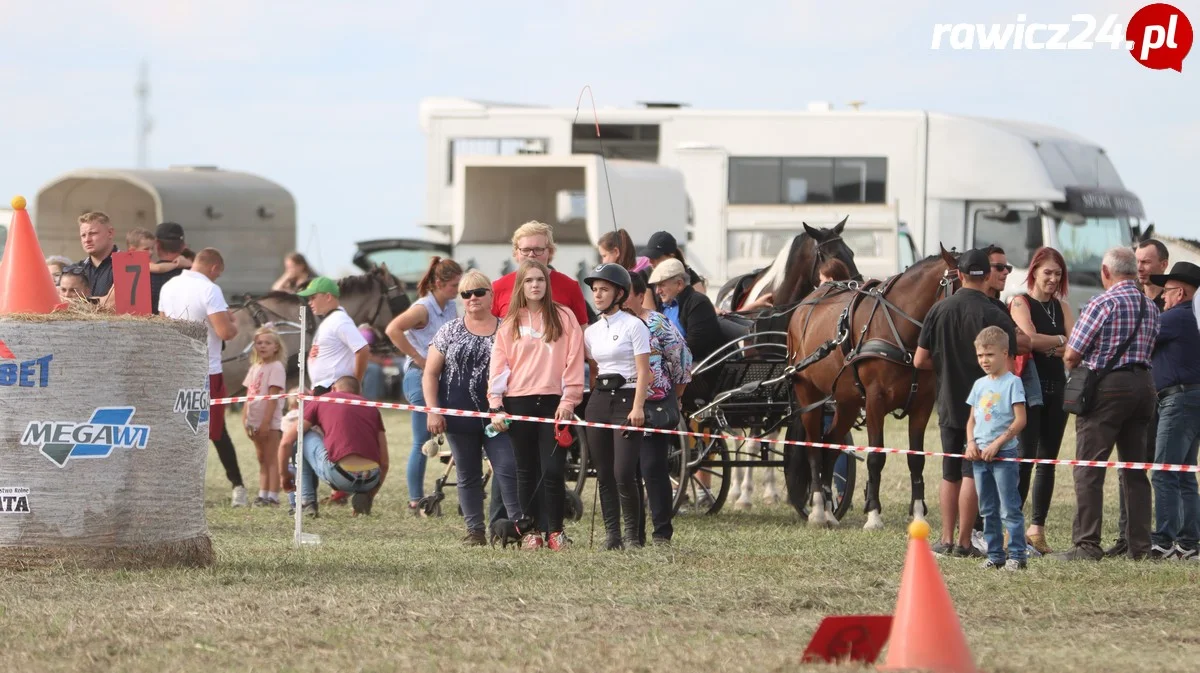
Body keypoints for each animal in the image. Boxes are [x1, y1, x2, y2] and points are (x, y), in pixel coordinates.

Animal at [782, 245, 960, 525]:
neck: (900, 332)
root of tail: (802, 308)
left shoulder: (922, 404)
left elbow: (916, 460)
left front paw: (918, 513)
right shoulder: (876, 401)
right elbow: (877, 456)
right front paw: (873, 514)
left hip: (847, 402)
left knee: (830, 444)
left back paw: (830, 511)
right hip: (808, 394)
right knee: (813, 447)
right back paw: (819, 510)